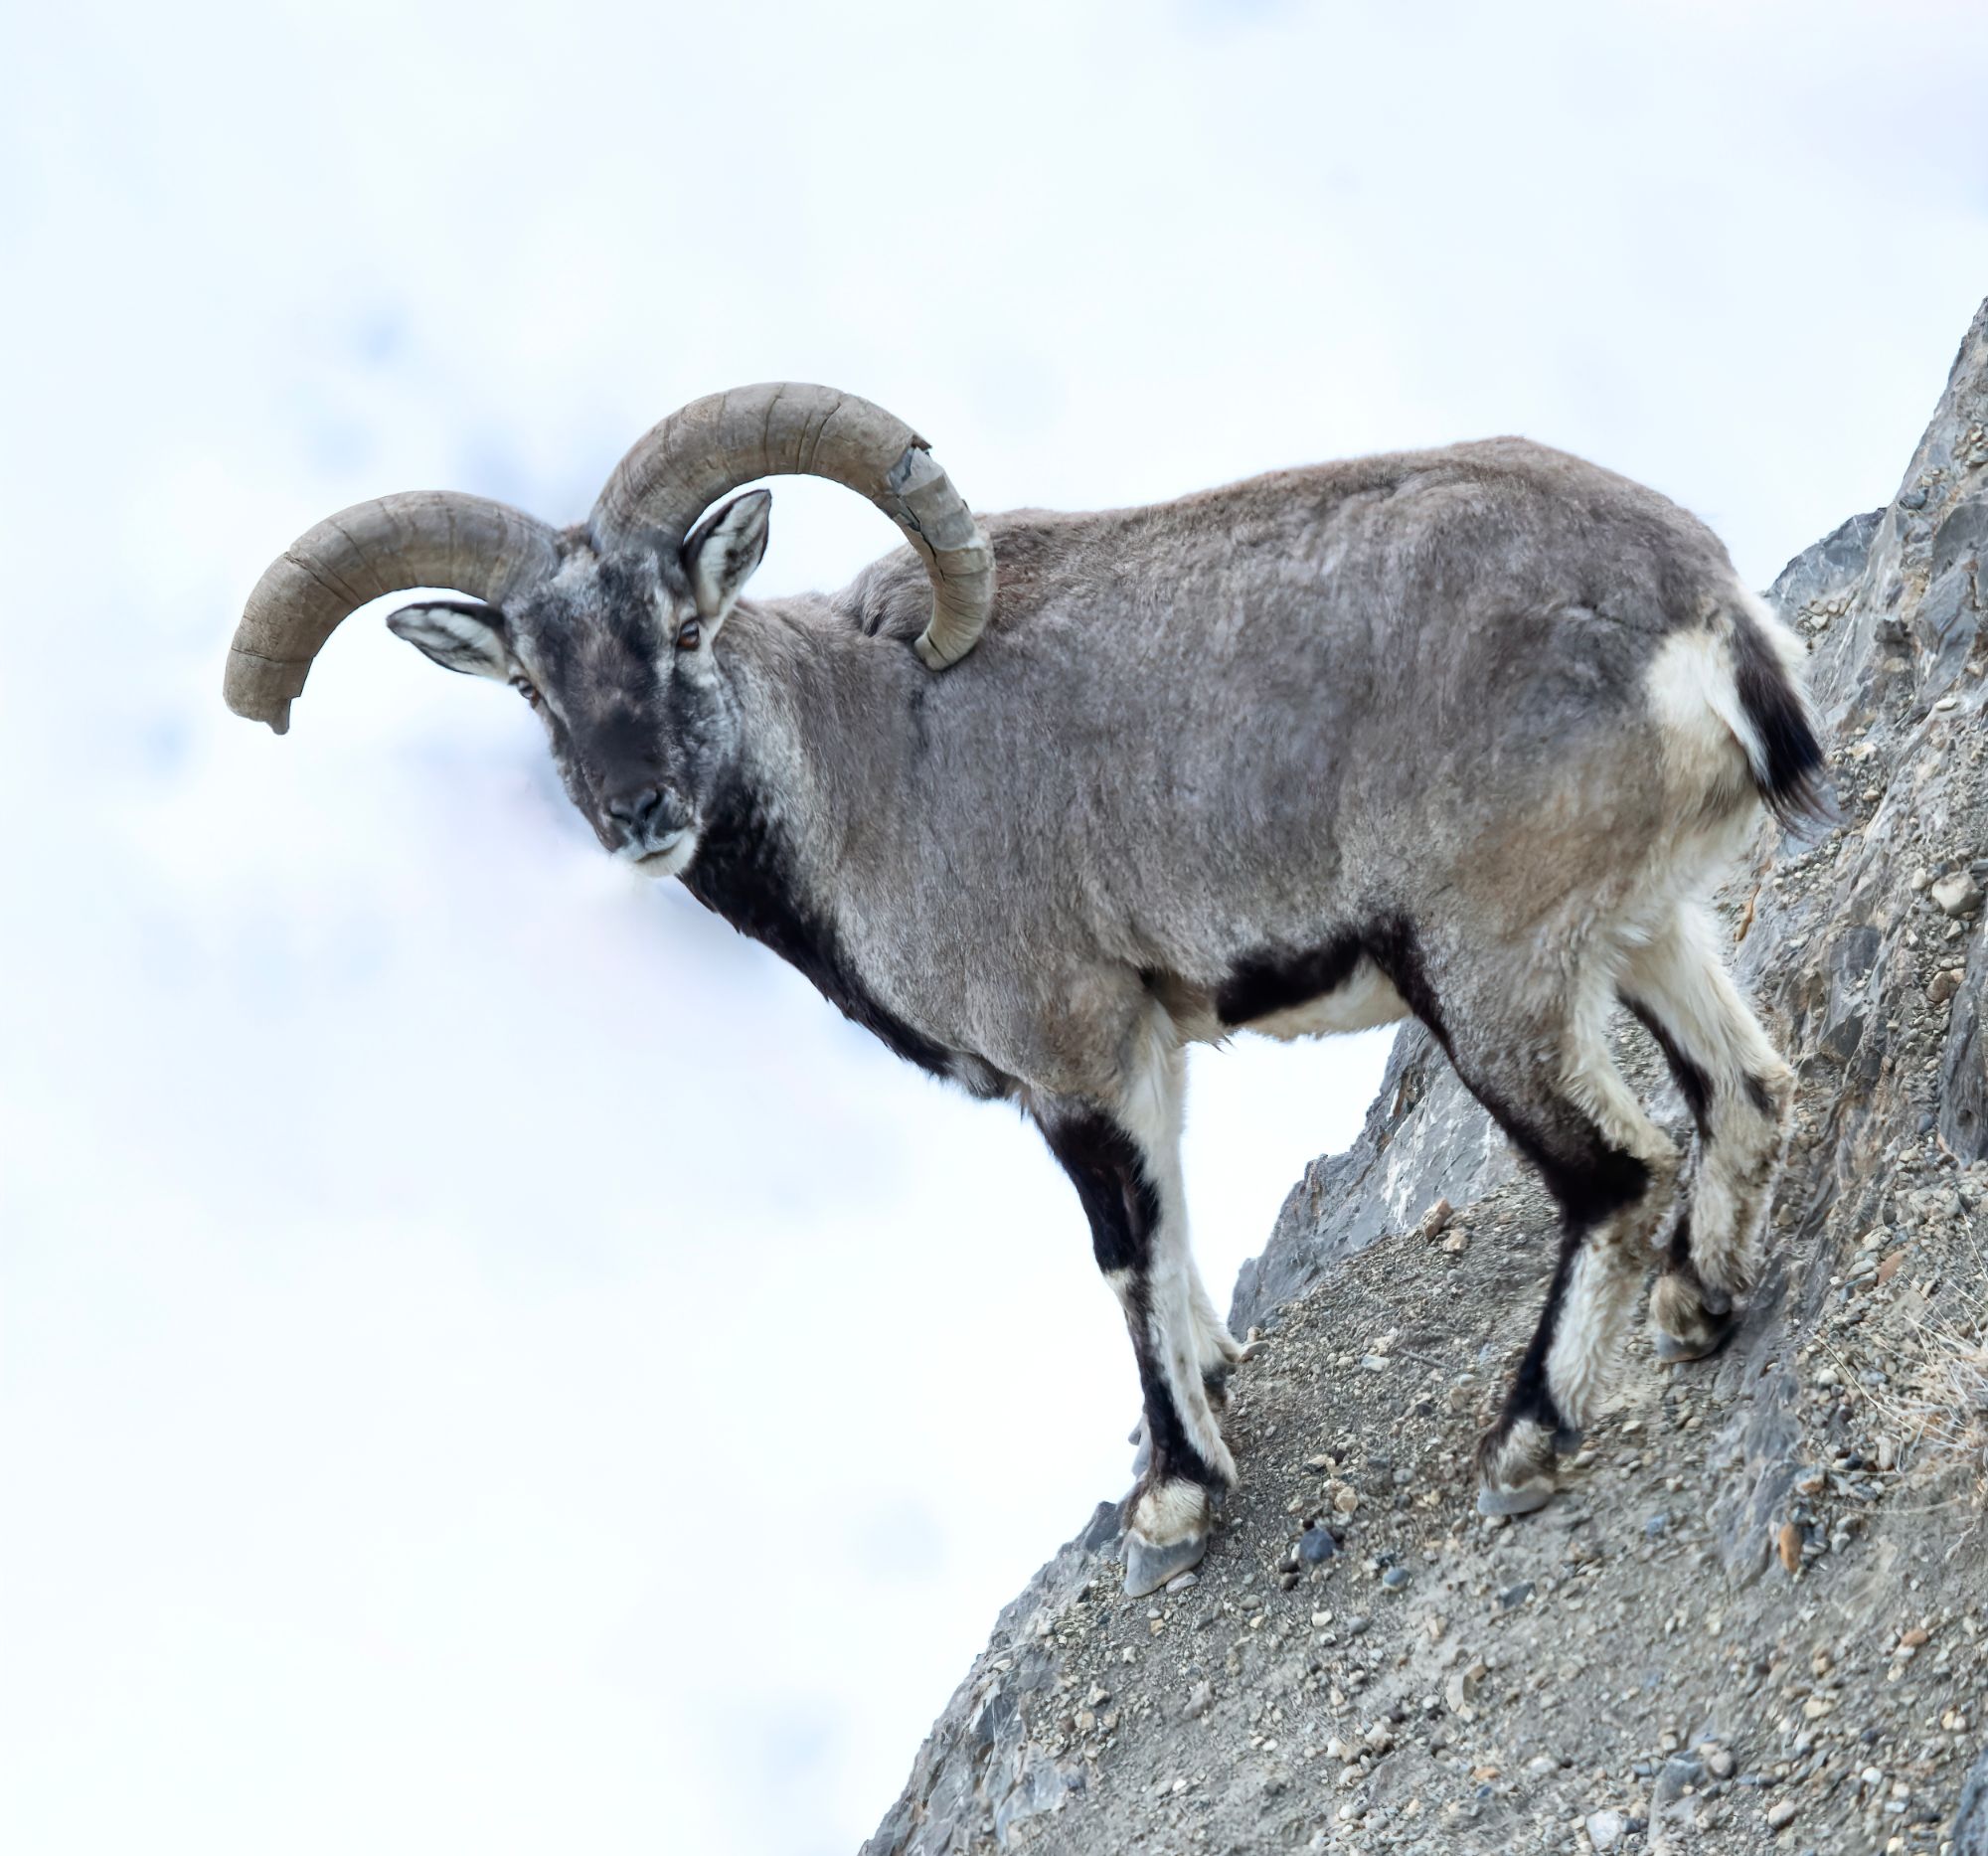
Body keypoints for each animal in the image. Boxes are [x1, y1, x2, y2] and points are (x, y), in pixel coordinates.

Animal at [224, 383, 1829, 1595]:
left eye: (682, 627)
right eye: (533, 687)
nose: (641, 811)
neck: (871, 765)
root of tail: (1702, 619)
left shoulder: (1071, 1054)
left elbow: (1123, 1253)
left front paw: (1176, 1496)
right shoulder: (1146, 1043)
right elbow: (1173, 1235)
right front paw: (1199, 1403)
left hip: (1487, 969)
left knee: (1612, 1169)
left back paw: (1524, 1441)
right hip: (1635, 927)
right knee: (1745, 1083)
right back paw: (1699, 1306)